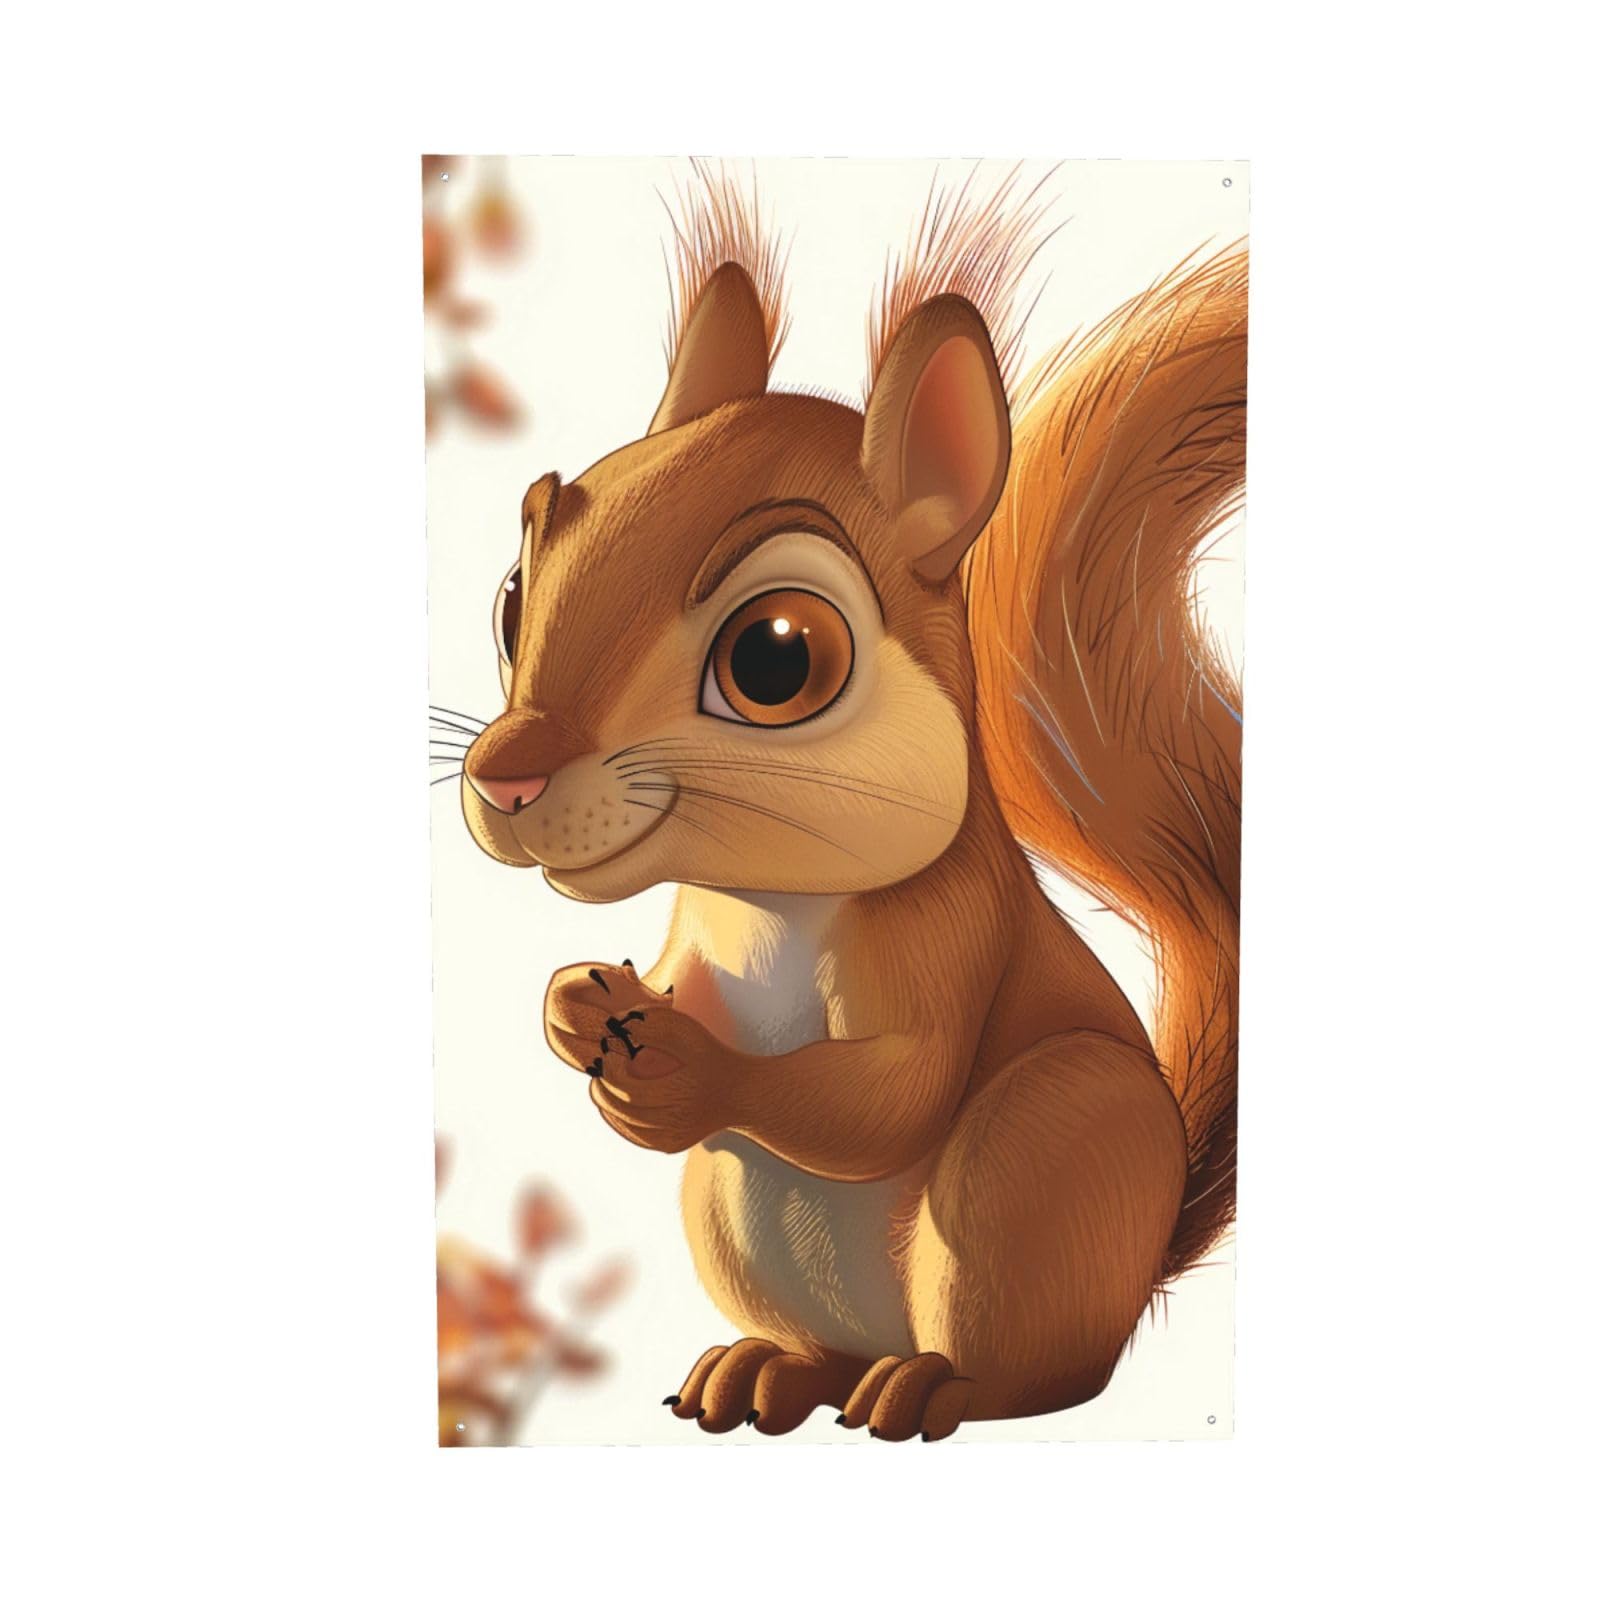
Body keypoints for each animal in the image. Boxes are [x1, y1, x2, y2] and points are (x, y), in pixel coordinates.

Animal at [455, 171, 1243, 1442]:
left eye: (777, 657)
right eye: (512, 597)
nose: (505, 778)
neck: (768, 896)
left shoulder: (951, 929)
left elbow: (894, 1092)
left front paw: (690, 1074)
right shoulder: (693, 941)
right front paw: (576, 1007)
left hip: (1049, 1146)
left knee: (1038, 1372)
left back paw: (935, 1387)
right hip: (731, 1211)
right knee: (820, 1350)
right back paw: (767, 1371)